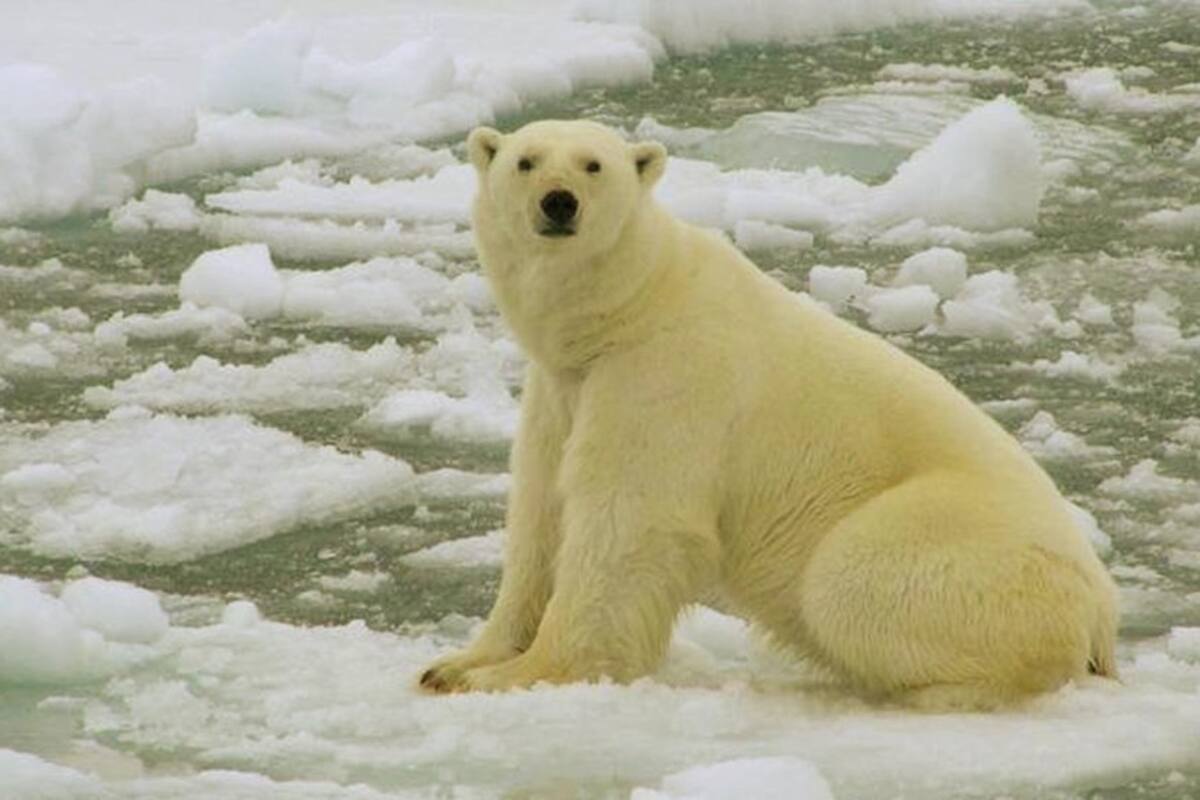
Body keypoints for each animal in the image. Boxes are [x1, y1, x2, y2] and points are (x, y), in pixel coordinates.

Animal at [419, 119, 1119, 710]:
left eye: (594, 164)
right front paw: (455, 662)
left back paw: (931, 689)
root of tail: (1103, 612)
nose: (559, 202)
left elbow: (627, 522)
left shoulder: (668, 375)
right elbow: (541, 514)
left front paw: (519, 674)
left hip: (968, 547)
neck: (630, 307)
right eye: (526, 161)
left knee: (848, 580)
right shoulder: (562, 391)